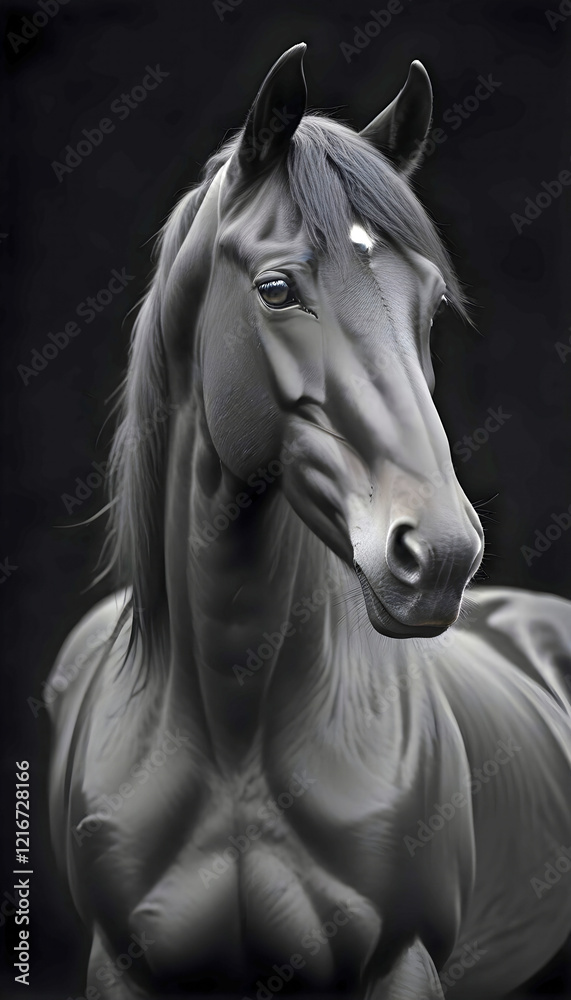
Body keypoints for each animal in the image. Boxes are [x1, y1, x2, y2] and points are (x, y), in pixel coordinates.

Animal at [48, 44, 571, 999]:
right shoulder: (121, 969)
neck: (232, 734)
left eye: (429, 304)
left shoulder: (400, 964)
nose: (439, 554)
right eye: (277, 289)